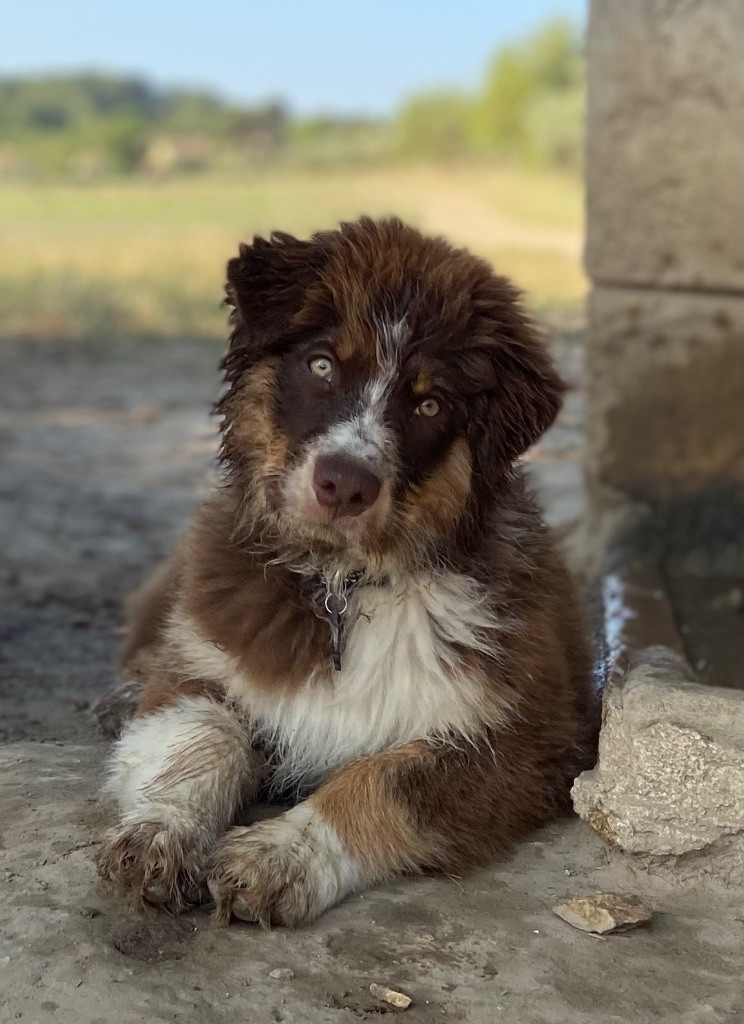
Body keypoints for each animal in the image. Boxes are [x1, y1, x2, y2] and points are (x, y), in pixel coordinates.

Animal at [96, 218, 597, 929]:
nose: (344, 484)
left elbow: (382, 780)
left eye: (430, 406)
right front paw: (160, 833)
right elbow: (202, 736)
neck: (342, 582)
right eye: (322, 365)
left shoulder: (530, 737)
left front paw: (278, 854)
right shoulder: (203, 662)